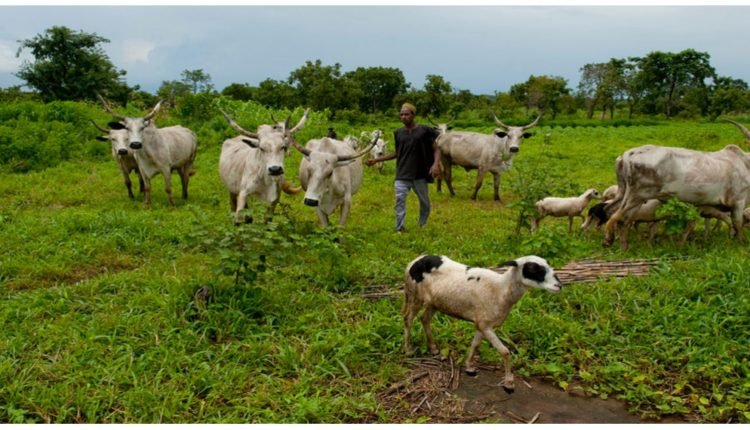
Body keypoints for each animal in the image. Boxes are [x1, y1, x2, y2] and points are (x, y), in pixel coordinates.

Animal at [604, 128, 750, 251]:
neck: (745, 163)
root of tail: (630, 153)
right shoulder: (738, 201)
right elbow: (737, 223)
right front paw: (741, 244)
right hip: (638, 196)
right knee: (622, 219)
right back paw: (622, 247)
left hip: (623, 192)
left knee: (609, 210)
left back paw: (611, 240)